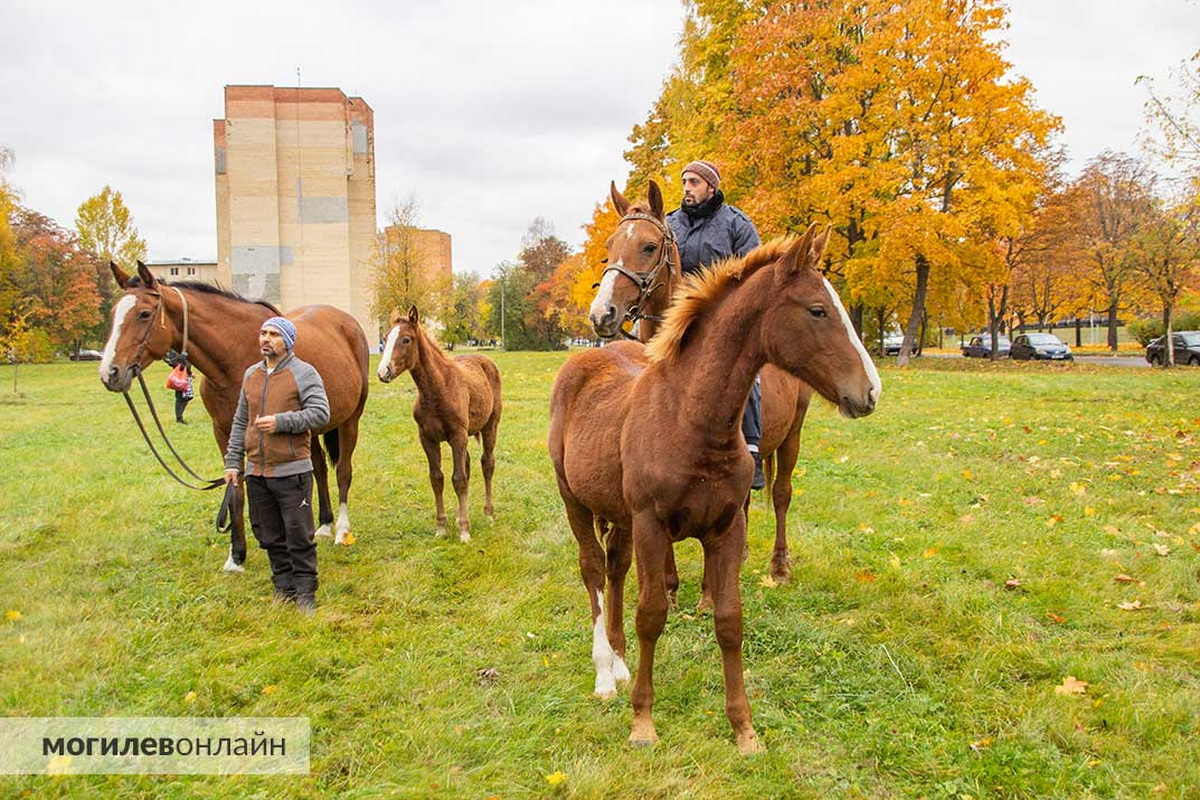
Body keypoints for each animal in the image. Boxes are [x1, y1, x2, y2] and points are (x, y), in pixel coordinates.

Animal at [99, 266, 369, 573]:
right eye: (114, 313)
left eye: (144, 313)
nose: (110, 373)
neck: (235, 355)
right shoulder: (225, 432)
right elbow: (236, 493)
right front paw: (236, 555)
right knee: (319, 468)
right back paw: (323, 524)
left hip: (350, 420)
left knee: (342, 471)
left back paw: (341, 530)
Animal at [376, 307, 504, 544]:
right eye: (385, 339)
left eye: (406, 339)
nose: (383, 372)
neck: (438, 389)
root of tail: (485, 359)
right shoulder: (427, 438)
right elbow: (438, 479)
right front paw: (442, 527)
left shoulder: (458, 436)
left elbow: (459, 479)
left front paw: (464, 531)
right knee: (468, 465)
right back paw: (460, 515)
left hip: (490, 427)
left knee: (487, 464)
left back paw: (488, 514)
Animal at [552, 226, 883, 758]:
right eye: (817, 310)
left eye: (649, 246)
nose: (870, 391)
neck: (690, 418)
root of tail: (588, 354)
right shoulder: (651, 525)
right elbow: (652, 614)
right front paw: (643, 722)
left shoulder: (727, 528)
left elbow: (729, 621)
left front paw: (744, 730)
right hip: (576, 502)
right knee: (593, 573)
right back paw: (605, 672)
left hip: (622, 514)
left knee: (615, 569)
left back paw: (620, 662)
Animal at [590, 181, 816, 585]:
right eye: (610, 245)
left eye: (649, 246)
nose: (602, 314)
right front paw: (670, 582)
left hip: (792, 435)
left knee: (781, 493)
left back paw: (779, 564)